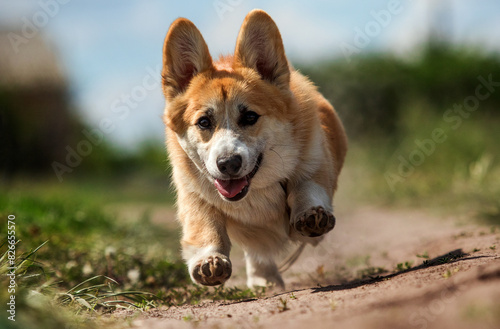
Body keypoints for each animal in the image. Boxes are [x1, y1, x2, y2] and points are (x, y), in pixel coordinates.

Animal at [162, 9, 346, 288]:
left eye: (250, 117)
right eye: (204, 122)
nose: (228, 164)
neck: (255, 192)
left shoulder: (313, 166)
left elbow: (306, 188)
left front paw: (312, 214)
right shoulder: (193, 196)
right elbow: (205, 227)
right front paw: (209, 260)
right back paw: (262, 278)